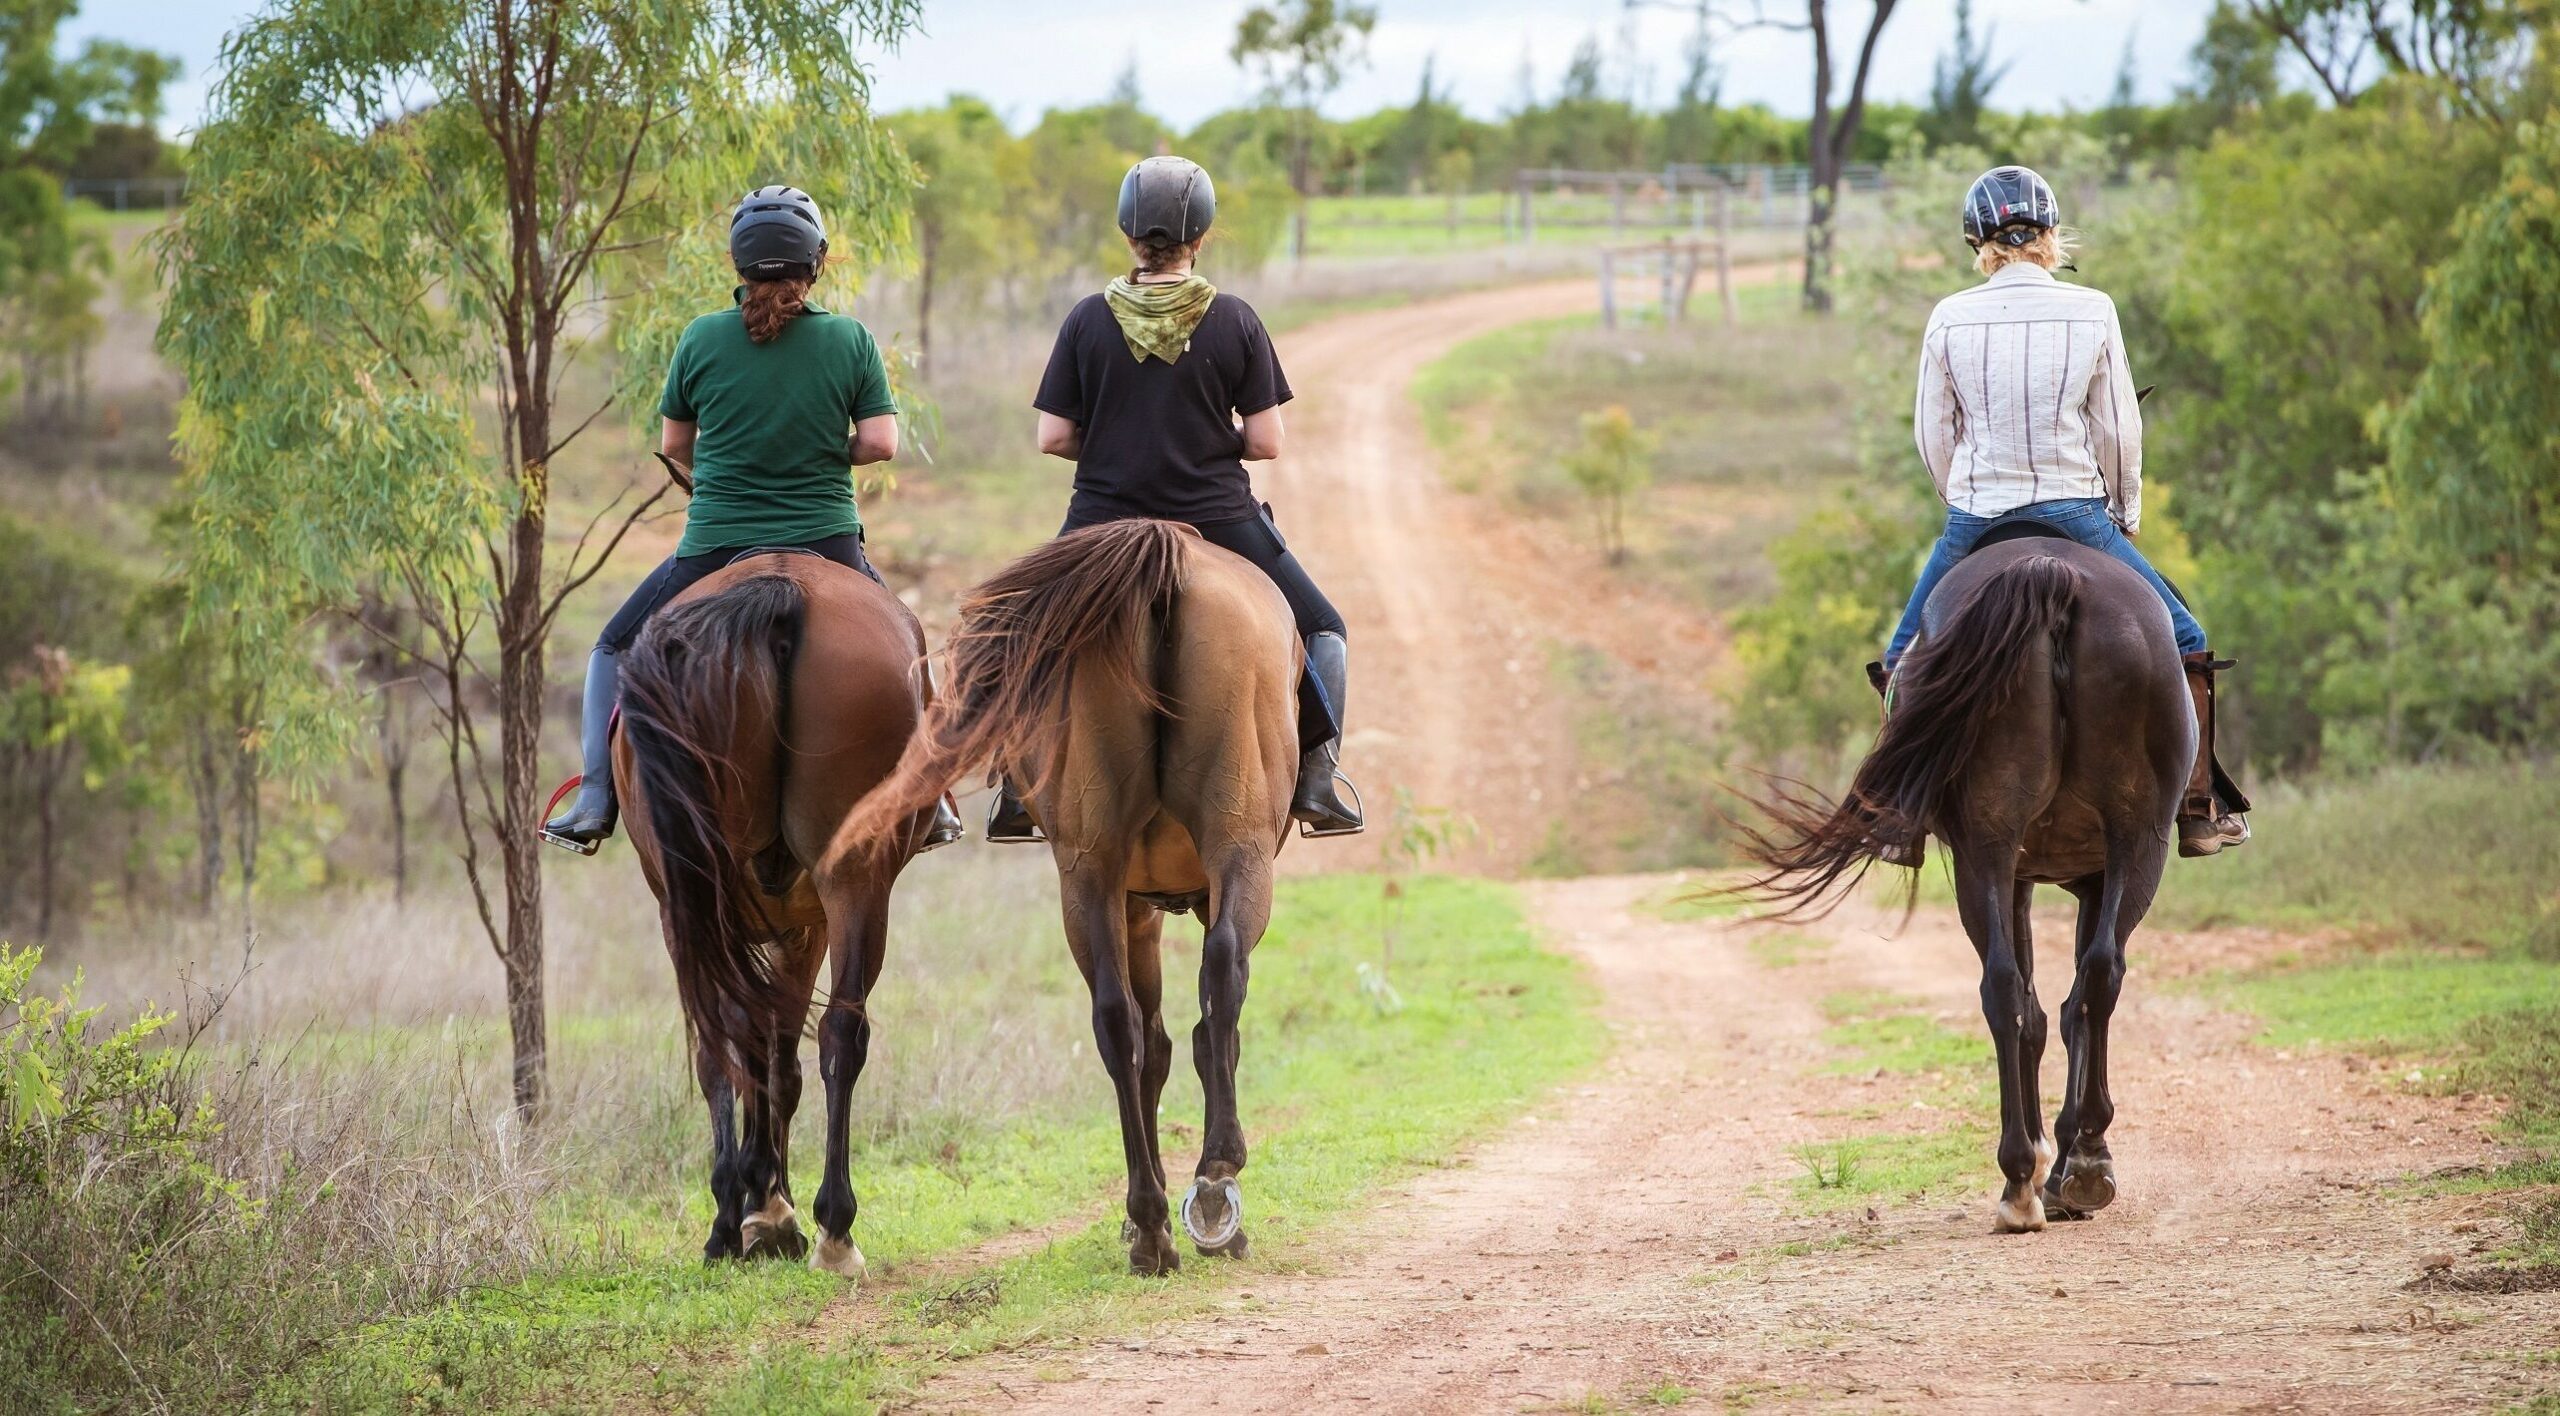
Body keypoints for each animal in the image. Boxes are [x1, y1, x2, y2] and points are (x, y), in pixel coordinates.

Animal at [611, 550, 952, 1270]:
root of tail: (780, 586)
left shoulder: (780, 922)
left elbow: (761, 1050)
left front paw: (759, 1204)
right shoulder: (806, 924)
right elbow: (779, 1055)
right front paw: (771, 1205)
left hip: (709, 899)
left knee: (727, 1035)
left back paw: (753, 1222)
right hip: (850, 883)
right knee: (836, 1034)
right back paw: (830, 1226)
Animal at [839, 517, 1300, 1270]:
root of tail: (1162, 560)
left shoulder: (1133, 901)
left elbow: (1154, 1042)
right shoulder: (1162, 901)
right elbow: (1199, 1035)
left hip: (1089, 871)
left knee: (1116, 1021)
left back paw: (1151, 1225)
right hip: (1237, 848)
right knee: (1219, 981)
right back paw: (1213, 1183)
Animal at [1730, 535, 2191, 1229]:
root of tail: (2049, 572)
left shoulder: (2053, 874)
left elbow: (2052, 1007)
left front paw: (2062, 1160)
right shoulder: (2056, 875)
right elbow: (2056, 1010)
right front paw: (2068, 1158)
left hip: (2017, 848)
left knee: (2037, 984)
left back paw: (2032, 1177)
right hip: (2116, 844)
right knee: (2076, 979)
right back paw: (2057, 1170)